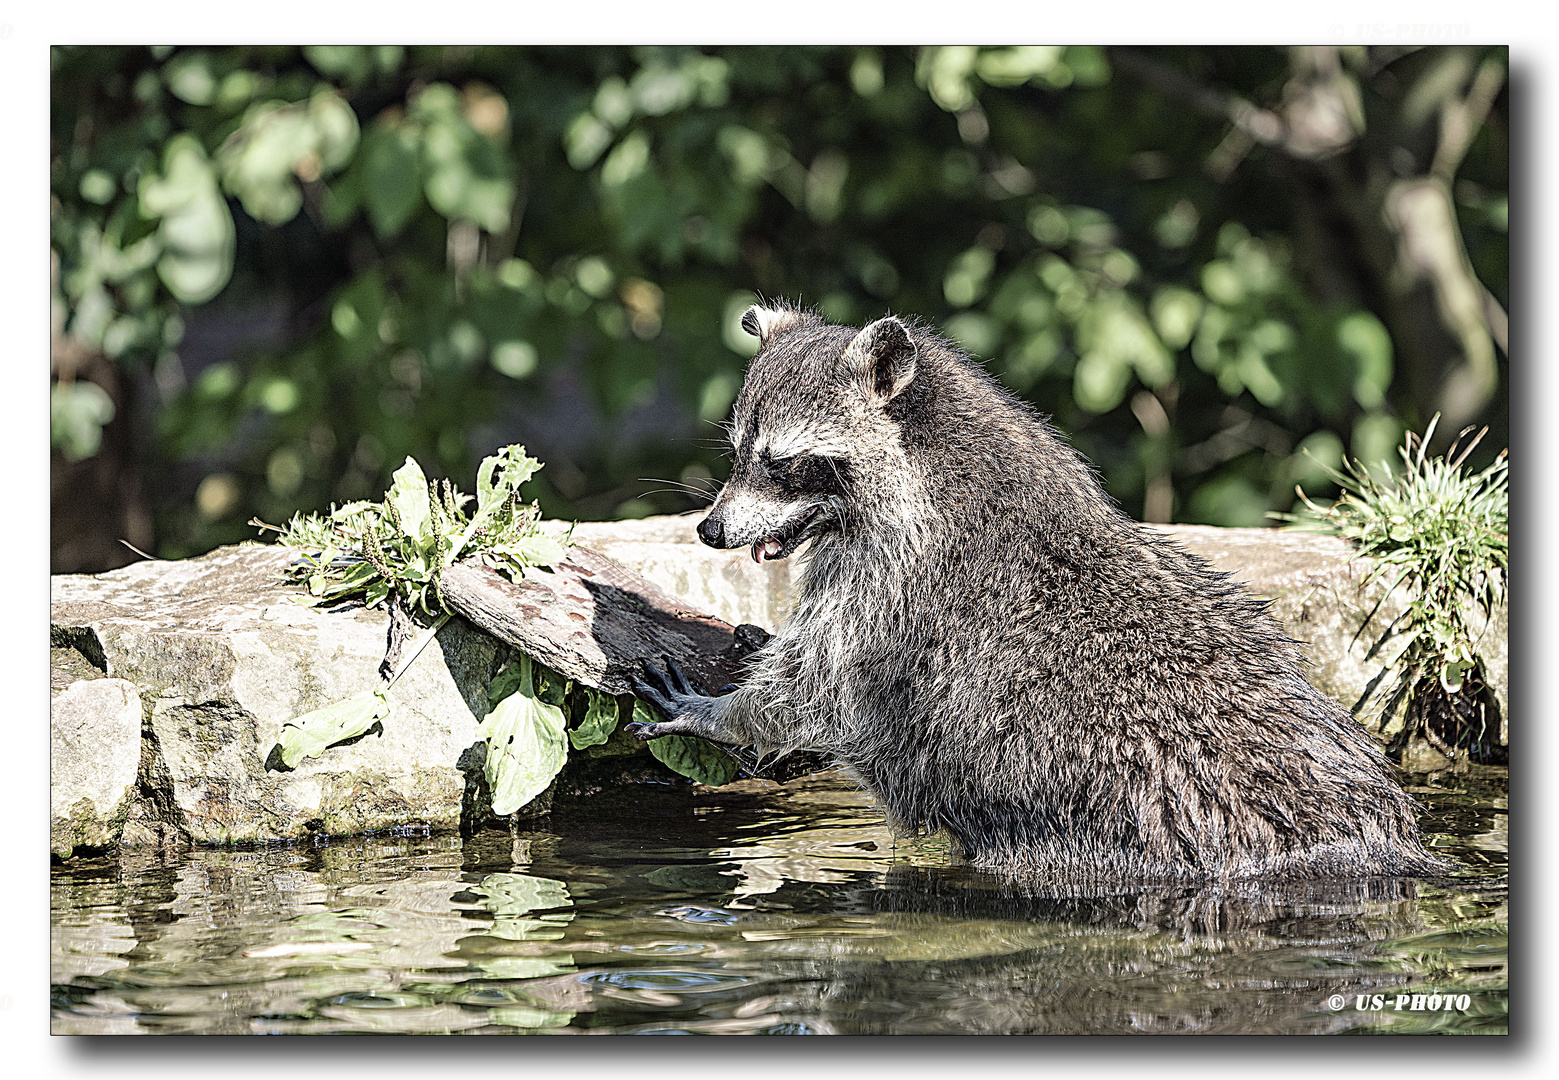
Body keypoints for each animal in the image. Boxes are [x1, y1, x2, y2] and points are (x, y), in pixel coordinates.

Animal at [626, 299, 1452, 878]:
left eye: (782, 463)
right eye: (737, 453)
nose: (710, 530)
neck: (930, 460)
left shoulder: (890, 589)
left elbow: (817, 690)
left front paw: (723, 715)